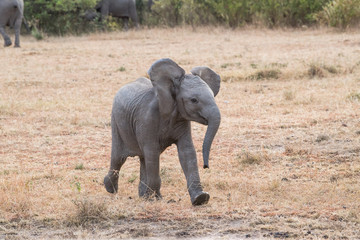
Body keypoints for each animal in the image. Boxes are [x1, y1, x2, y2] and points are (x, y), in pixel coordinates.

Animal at [104, 58, 221, 206]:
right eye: (194, 100)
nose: (206, 166)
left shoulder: (182, 120)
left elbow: (187, 152)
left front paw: (200, 198)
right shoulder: (147, 119)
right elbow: (152, 152)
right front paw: (154, 200)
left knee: (143, 158)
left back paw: (144, 196)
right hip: (116, 122)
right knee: (119, 157)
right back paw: (111, 189)